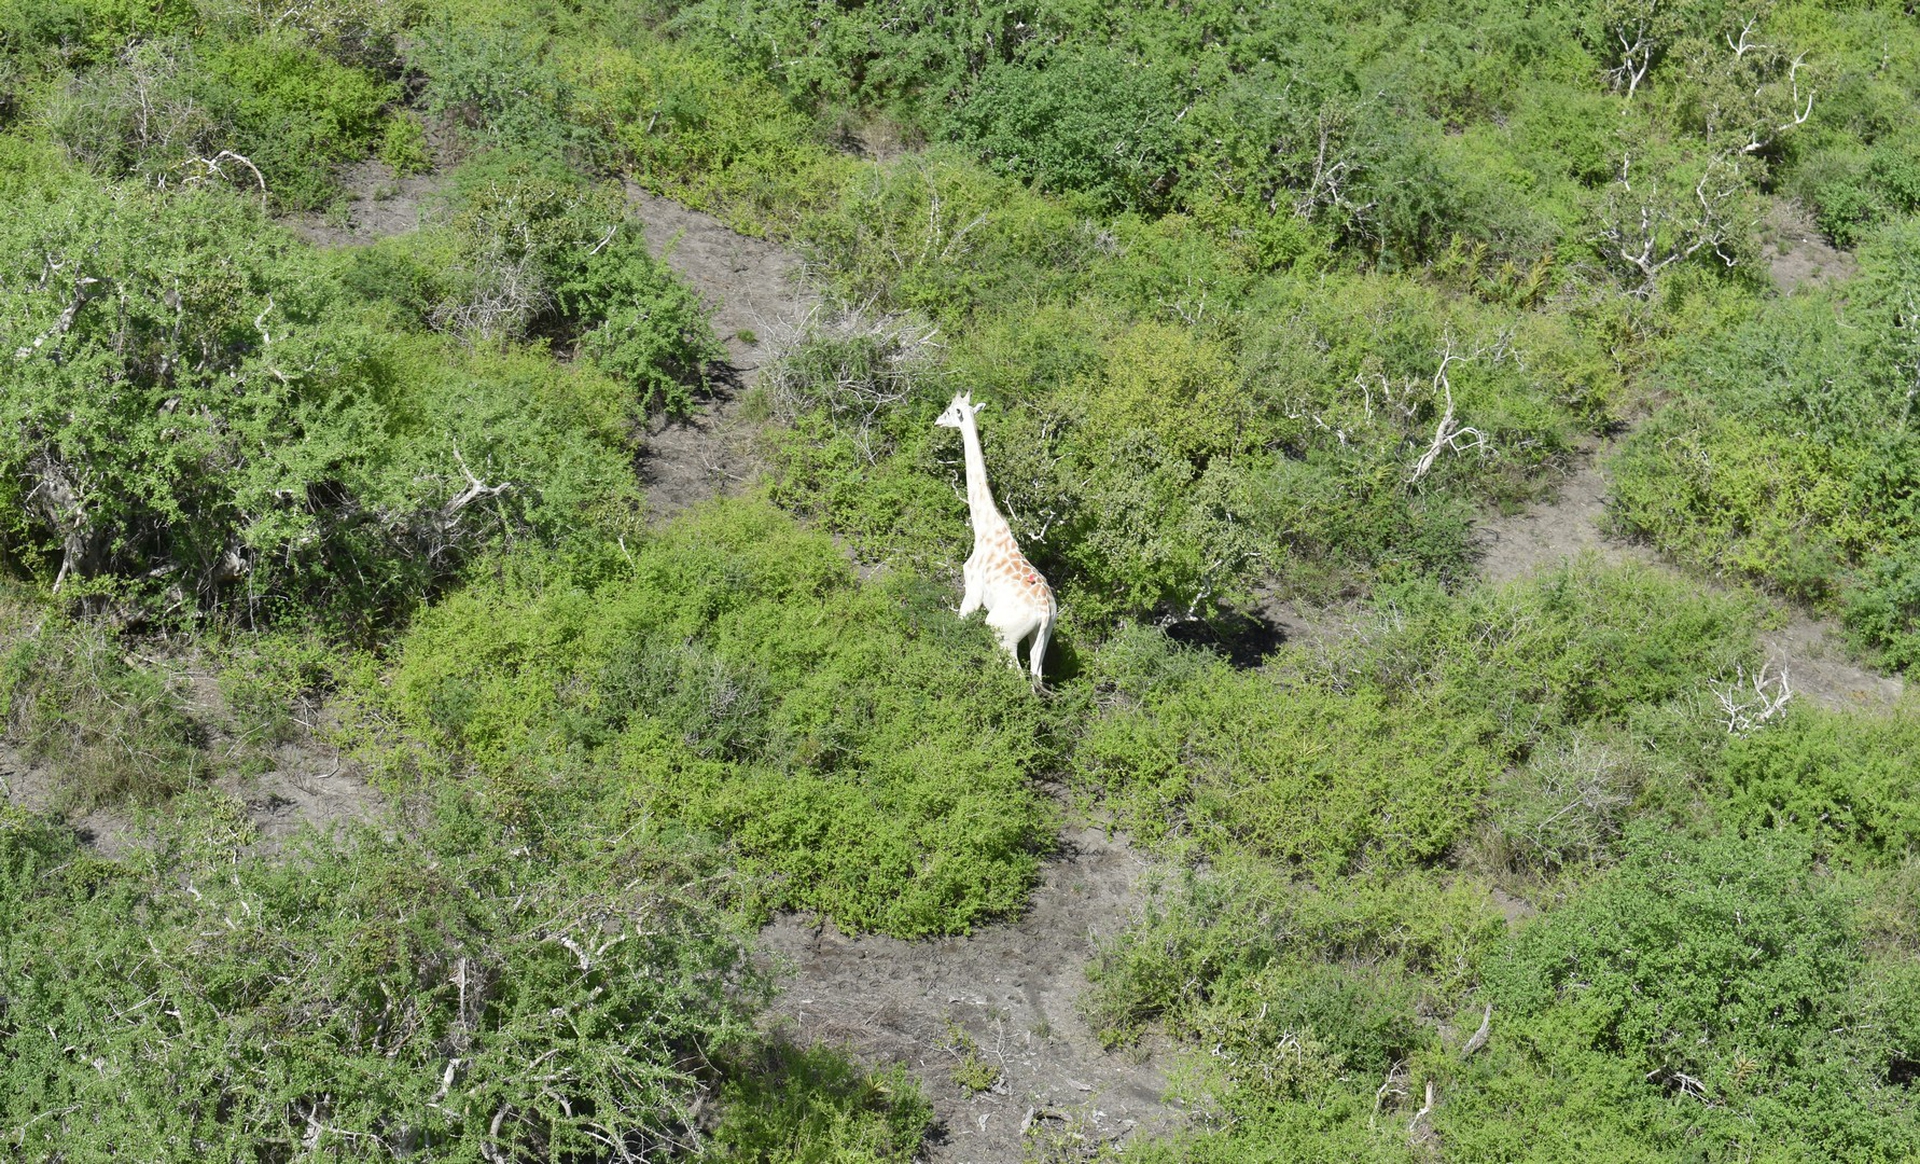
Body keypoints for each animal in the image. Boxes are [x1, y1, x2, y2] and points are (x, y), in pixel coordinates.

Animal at [935, 391, 1057, 689]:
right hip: (1042, 635)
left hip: (1002, 632)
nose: (937, 421)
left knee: (1017, 675)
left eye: (950, 411)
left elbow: (957, 626)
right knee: (1036, 677)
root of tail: (1045, 612)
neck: (984, 529)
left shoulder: (972, 593)